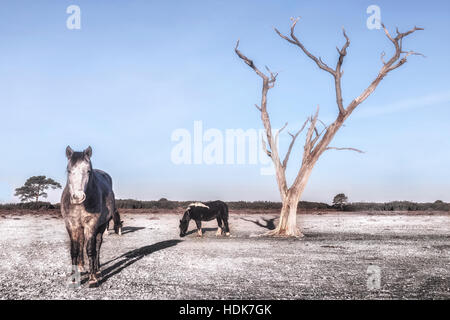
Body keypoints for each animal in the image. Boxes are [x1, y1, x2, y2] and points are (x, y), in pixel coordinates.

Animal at [61, 145, 122, 288]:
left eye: (89, 171)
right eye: (69, 170)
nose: (78, 197)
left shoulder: (91, 224)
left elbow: (90, 249)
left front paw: (93, 278)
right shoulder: (72, 225)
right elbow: (74, 250)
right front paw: (73, 278)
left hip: (102, 225)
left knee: (97, 245)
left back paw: (97, 269)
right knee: (82, 243)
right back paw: (82, 267)